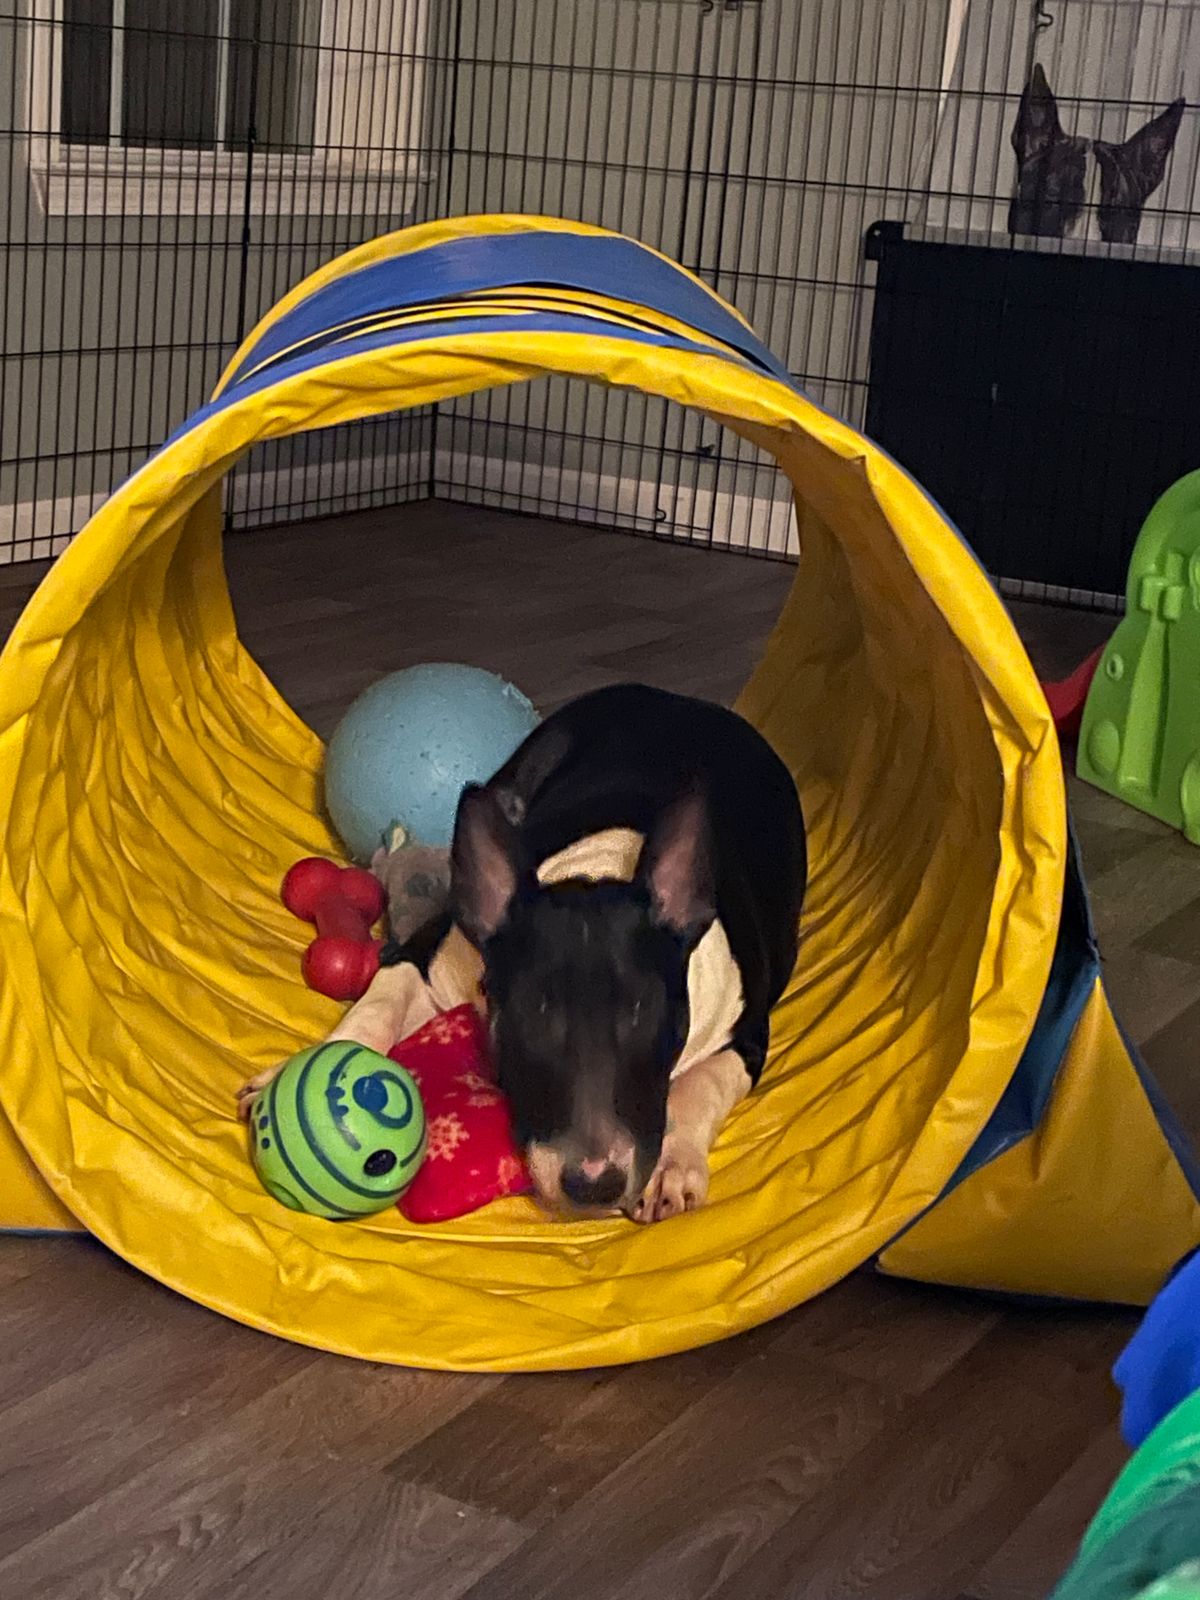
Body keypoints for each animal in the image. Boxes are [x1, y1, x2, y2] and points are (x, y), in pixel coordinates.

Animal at [240, 684, 806, 1223]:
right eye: (531, 1015)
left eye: (645, 1011)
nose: (593, 1185)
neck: (598, 866)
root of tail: (684, 702)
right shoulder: (425, 954)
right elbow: (377, 1005)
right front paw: (293, 1076)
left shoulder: (750, 1033)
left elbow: (703, 1082)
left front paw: (672, 1166)